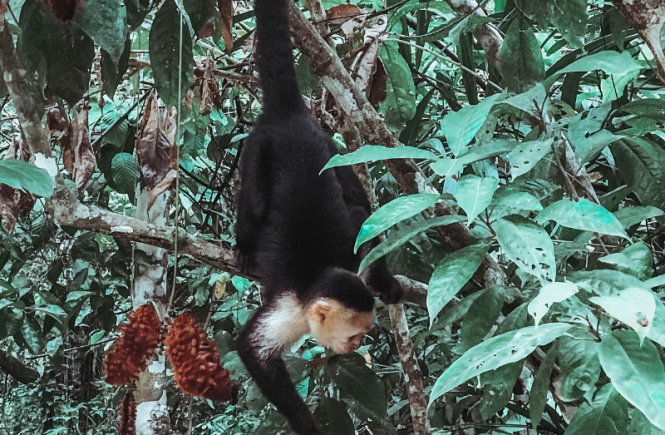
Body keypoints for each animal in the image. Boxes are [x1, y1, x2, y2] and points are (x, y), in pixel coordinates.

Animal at [236, 0, 402, 434]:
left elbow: (362, 220)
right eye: (354, 336)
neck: (318, 280)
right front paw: (306, 423)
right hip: (258, 147)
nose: (359, 347)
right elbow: (251, 350)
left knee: (353, 192)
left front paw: (387, 282)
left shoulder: (354, 260)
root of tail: (290, 115)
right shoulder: (289, 309)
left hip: (330, 145)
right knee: (254, 205)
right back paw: (244, 246)